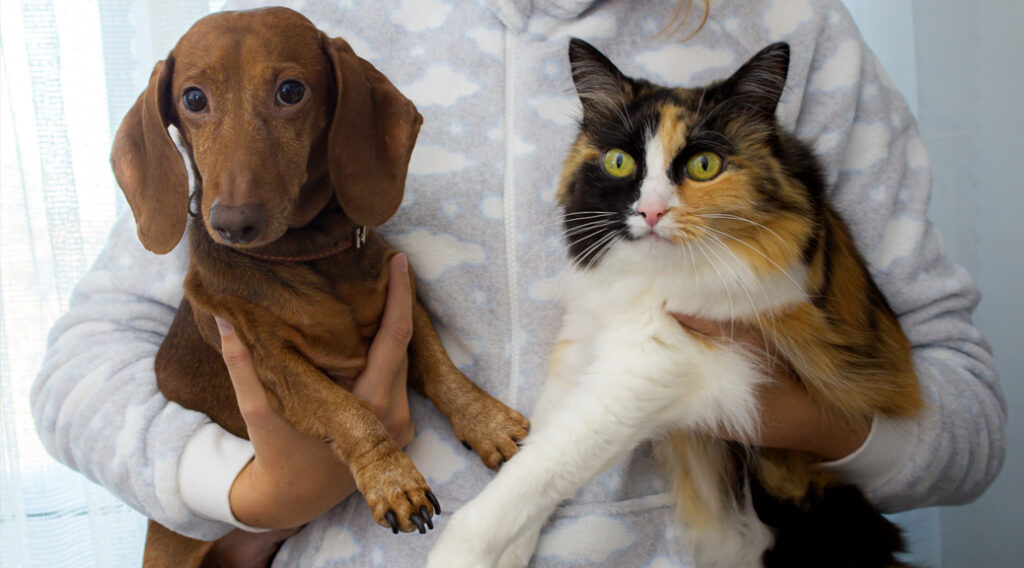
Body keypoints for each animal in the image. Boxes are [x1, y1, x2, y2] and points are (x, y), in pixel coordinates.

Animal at [109, 5, 532, 568]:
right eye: (194, 99)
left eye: (291, 91)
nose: (232, 224)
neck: (305, 253)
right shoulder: (271, 361)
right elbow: (347, 410)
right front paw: (393, 479)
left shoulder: (403, 299)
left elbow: (443, 368)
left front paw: (484, 421)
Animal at [423, 39, 921, 568]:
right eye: (619, 162)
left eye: (703, 166)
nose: (651, 211)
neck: (646, 279)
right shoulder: (581, 345)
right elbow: (538, 453)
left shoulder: (656, 364)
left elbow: (539, 468)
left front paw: (457, 553)